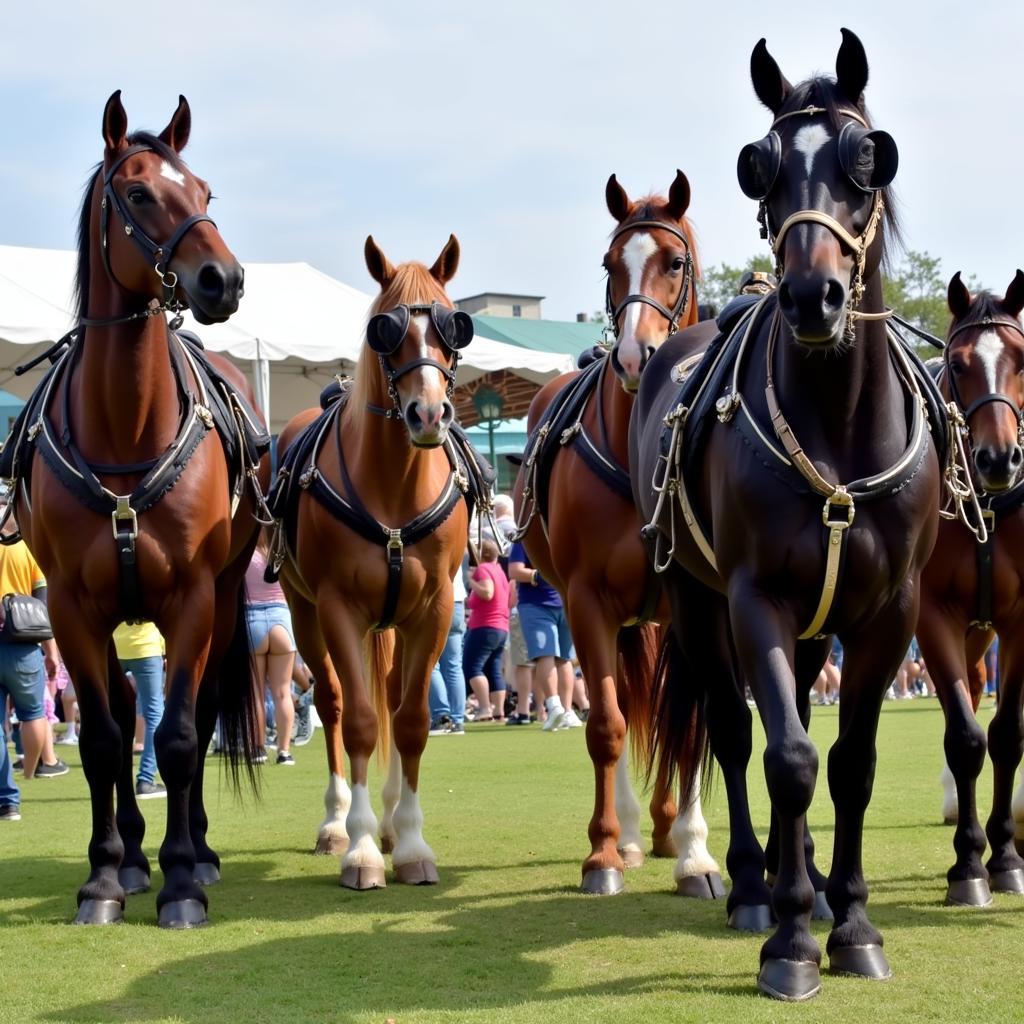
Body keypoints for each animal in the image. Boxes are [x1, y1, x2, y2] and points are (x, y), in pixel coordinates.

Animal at [3, 94, 264, 929]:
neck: (125, 428)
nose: (223, 280)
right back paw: (132, 853)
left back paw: (197, 851)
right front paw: (105, 876)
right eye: (141, 192)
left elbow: (179, 736)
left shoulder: (190, 598)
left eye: (205, 190)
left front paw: (183, 879)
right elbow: (103, 739)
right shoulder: (72, 607)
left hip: (221, 599)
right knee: (119, 714)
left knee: (202, 714)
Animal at [268, 235, 483, 884]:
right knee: (336, 702)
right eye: (385, 329)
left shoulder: (434, 609)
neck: (393, 485)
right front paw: (361, 847)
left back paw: (387, 820)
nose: (428, 414)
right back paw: (339, 822)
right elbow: (360, 720)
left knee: (389, 695)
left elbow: (410, 721)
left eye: (453, 323)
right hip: (303, 612)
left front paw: (409, 841)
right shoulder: (339, 607)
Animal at [509, 169, 720, 897]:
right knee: (626, 706)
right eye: (610, 264)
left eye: (675, 262)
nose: (634, 355)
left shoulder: (691, 604)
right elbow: (606, 722)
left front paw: (695, 852)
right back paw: (630, 831)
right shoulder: (585, 599)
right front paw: (602, 852)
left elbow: (691, 723)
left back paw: (663, 827)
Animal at [630, 29, 942, 999]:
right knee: (740, 736)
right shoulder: (752, 598)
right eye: (759, 167)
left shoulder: (890, 614)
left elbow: (850, 764)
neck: (837, 426)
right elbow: (789, 757)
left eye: (865, 158)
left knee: (798, 711)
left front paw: (853, 922)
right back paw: (755, 885)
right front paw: (794, 938)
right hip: (696, 604)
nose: (811, 296)